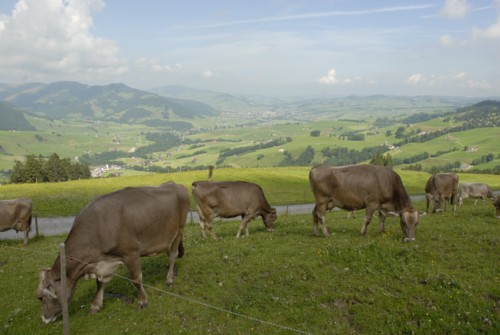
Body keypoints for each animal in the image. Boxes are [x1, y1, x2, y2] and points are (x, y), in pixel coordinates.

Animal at [36, 182, 189, 324]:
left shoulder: (131, 253)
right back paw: (172, 271)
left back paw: (169, 279)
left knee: (173, 255)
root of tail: (174, 184)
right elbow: (99, 283)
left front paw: (143, 301)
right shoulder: (102, 262)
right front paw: (95, 306)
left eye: (41, 297)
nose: (44, 319)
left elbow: (136, 279)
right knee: (169, 253)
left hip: (179, 230)